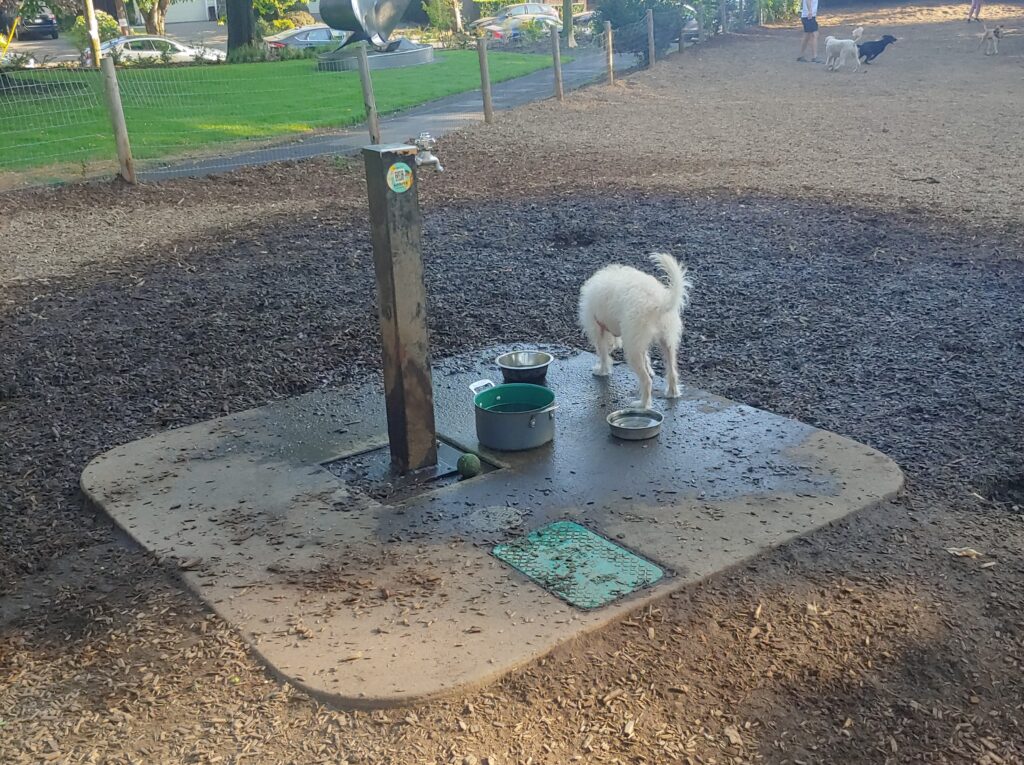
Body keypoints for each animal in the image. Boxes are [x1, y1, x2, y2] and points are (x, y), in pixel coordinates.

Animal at [577, 252, 696, 409]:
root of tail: (659, 301)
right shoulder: (638, 340)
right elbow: (645, 356)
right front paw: (650, 368)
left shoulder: (598, 330)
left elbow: (602, 354)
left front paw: (602, 370)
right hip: (667, 342)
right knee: (672, 372)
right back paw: (672, 392)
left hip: (632, 349)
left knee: (646, 381)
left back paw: (643, 404)